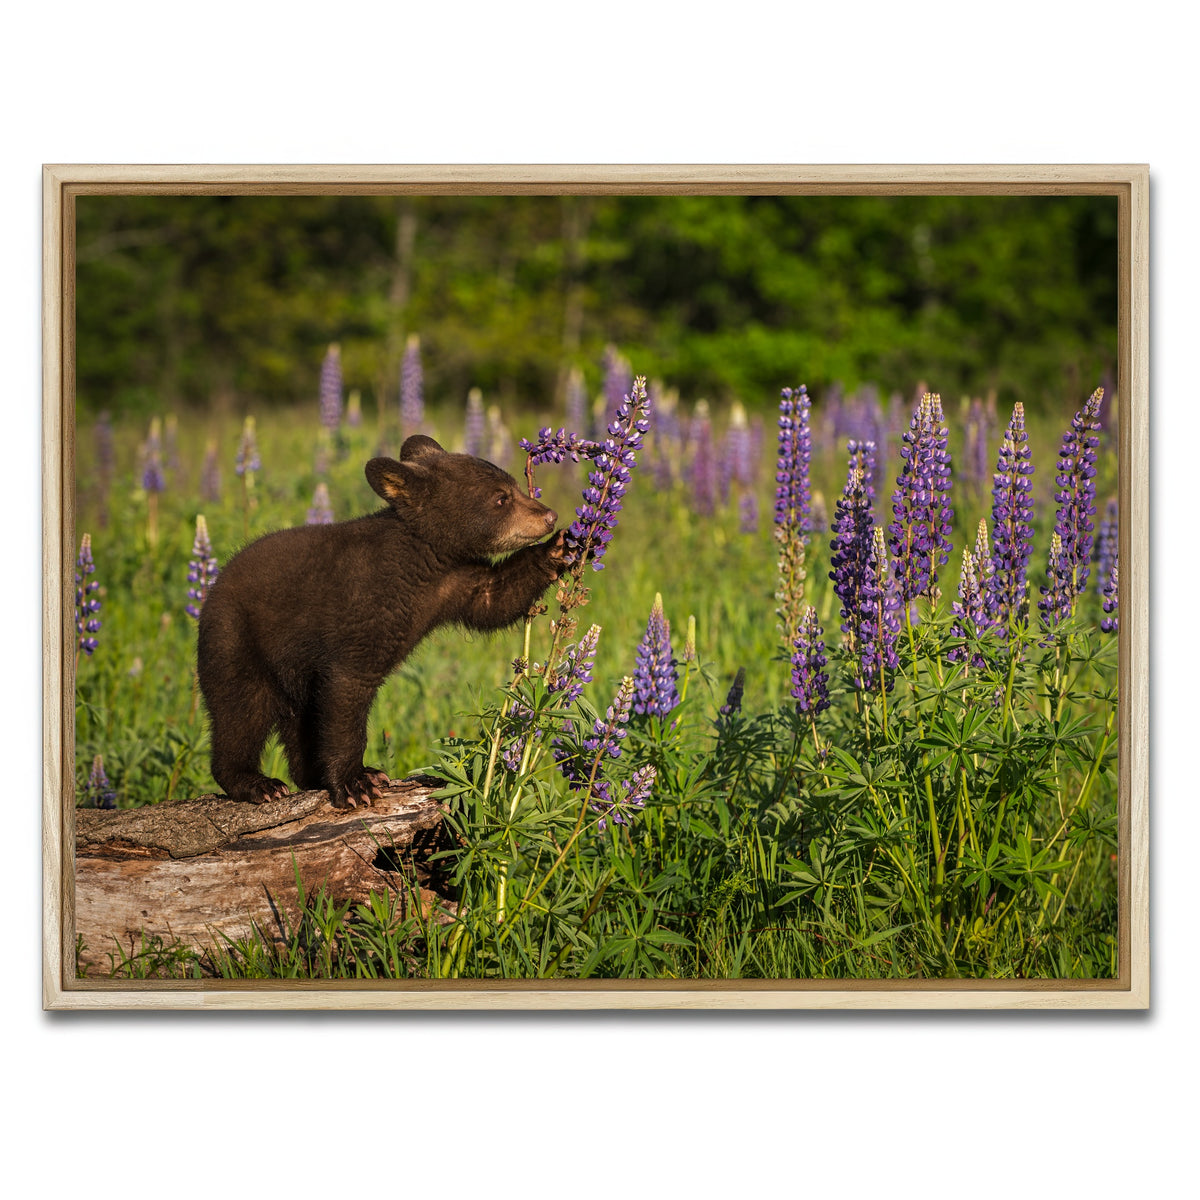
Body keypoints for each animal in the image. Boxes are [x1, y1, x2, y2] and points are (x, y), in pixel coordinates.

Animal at [197, 434, 567, 808]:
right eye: (500, 498)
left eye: (515, 486)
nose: (549, 516)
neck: (423, 560)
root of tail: (212, 591)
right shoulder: (361, 611)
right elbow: (347, 693)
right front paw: (355, 783)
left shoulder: (455, 582)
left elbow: (495, 599)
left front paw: (561, 549)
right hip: (236, 641)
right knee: (241, 711)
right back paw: (257, 783)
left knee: (299, 719)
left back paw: (309, 776)